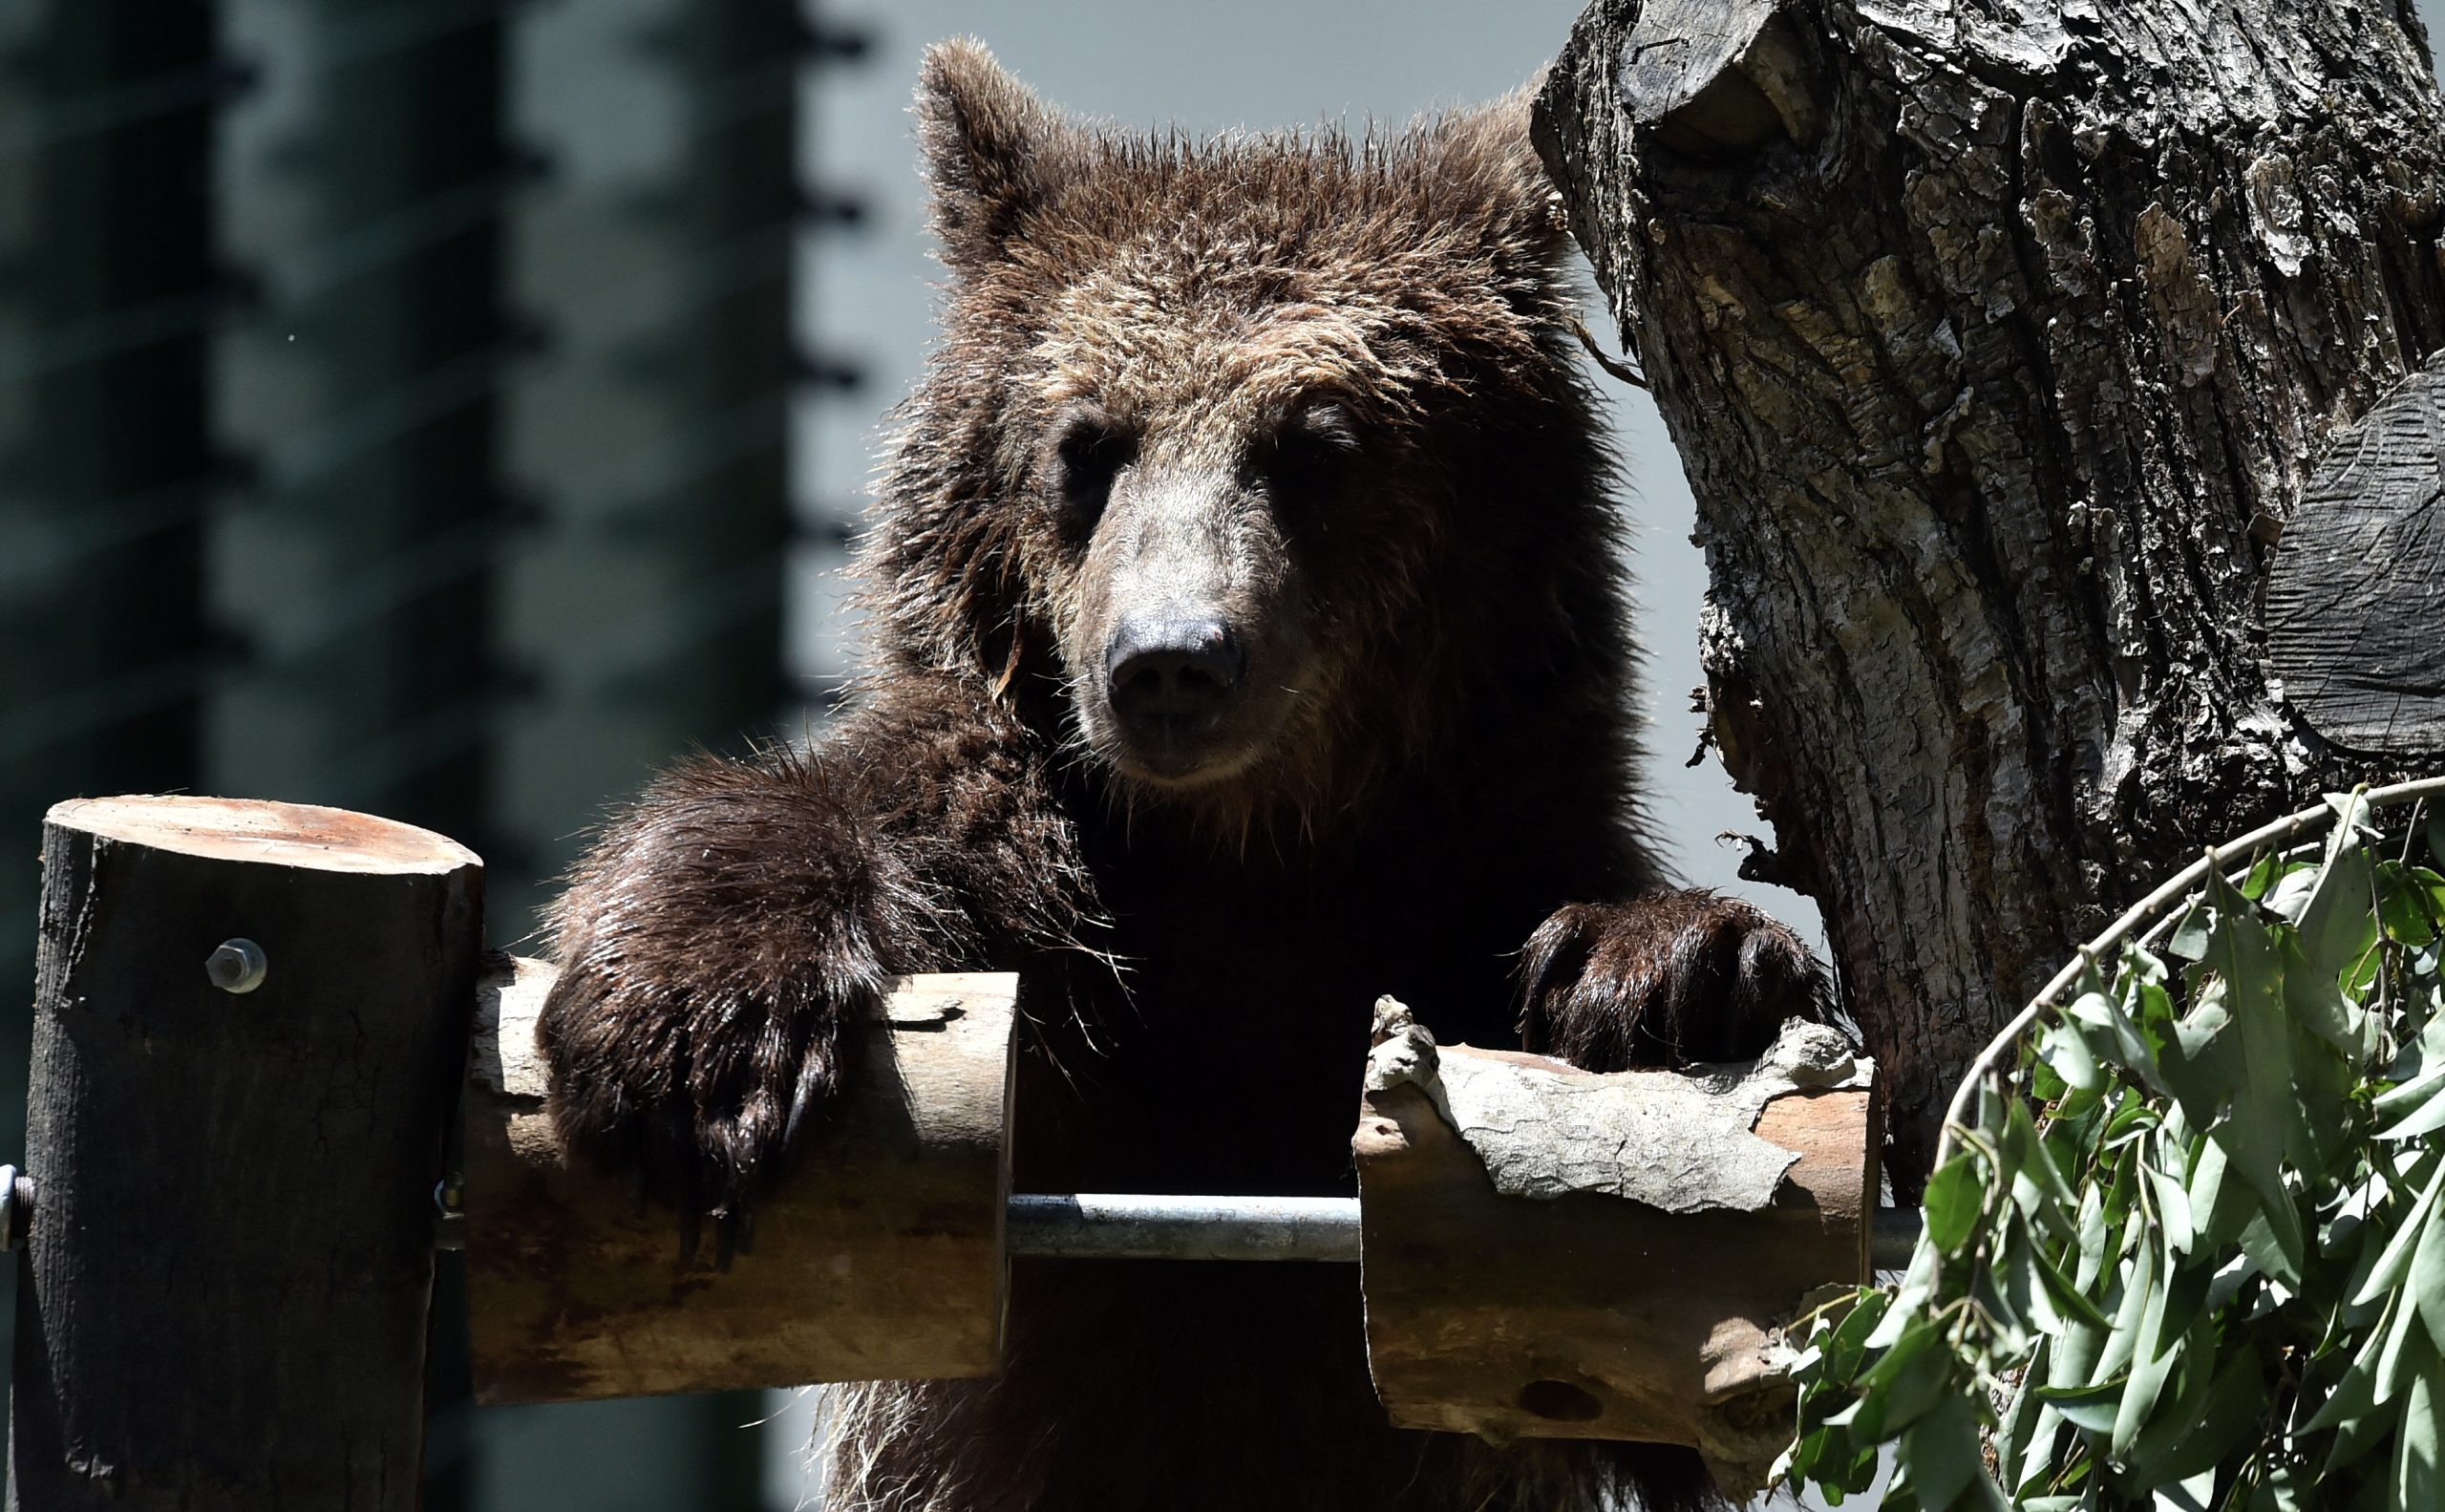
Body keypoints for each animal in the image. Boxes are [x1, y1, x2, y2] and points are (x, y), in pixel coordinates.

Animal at [537, 38, 1825, 1512]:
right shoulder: (1049, 908)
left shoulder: (1454, 873)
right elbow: (824, 817)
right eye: (1086, 441)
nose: (1170, 658)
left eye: (1320, 446)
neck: (1242, 866)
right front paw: (692, 1042)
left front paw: (1676, 970)